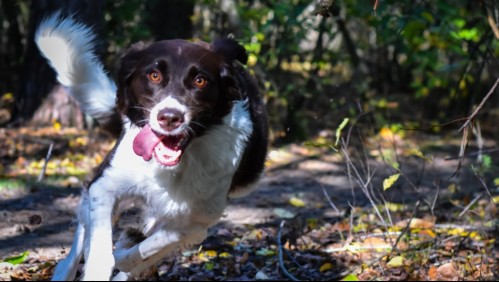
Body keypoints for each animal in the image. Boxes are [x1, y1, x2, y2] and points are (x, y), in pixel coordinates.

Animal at [35, 12, 270, 280]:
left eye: (200, 81)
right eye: (154, 75)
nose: (169, 117)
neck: (173, 166)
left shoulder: (197, 222)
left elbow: (152, 246)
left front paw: (126, 255)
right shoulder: (105, 186)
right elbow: (101, 251)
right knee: (78, 242)